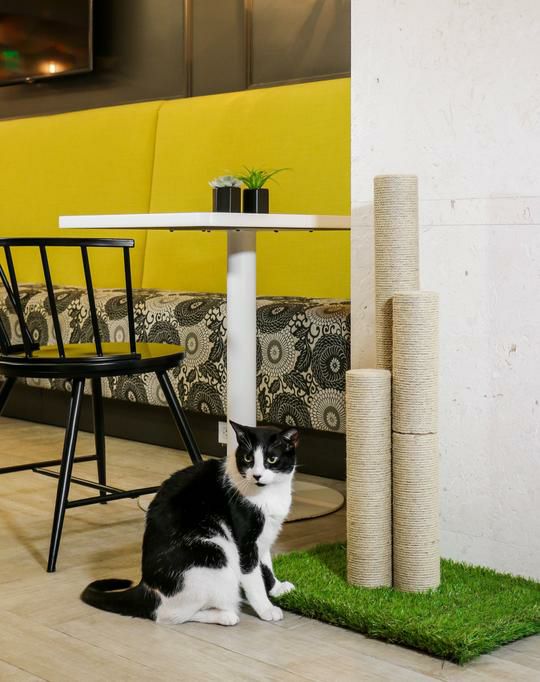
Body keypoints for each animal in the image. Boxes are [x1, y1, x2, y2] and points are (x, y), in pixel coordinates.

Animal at [81, 421, 299, 625]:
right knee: (168, 615)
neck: (269, 493)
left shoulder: (265, 535)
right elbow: (253, 578)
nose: (257, 475)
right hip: (215, 556)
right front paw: (266, 609)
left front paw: (277, 588)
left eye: (272, 459)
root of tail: (147, 587)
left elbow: (266, 565)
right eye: (248, 458)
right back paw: (225, 615)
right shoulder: (245, 541)